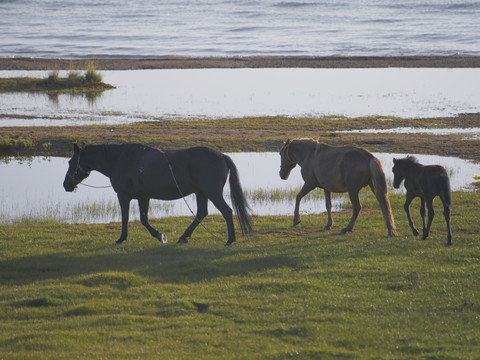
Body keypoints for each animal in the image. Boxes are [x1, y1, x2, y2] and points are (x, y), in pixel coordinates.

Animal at [63, 143, 251, 245]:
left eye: (71, 162)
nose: (66, 185)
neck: (122, 160)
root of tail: (222, 156)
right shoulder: (143, 197)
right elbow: (144, 219)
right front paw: (160, 236)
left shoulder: (123, 196)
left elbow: (125, 218)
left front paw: (121, 238)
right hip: (201, 193)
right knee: (201, 213)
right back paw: (184, 237)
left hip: (212, 192)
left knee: (226, 211)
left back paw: (229, 240)